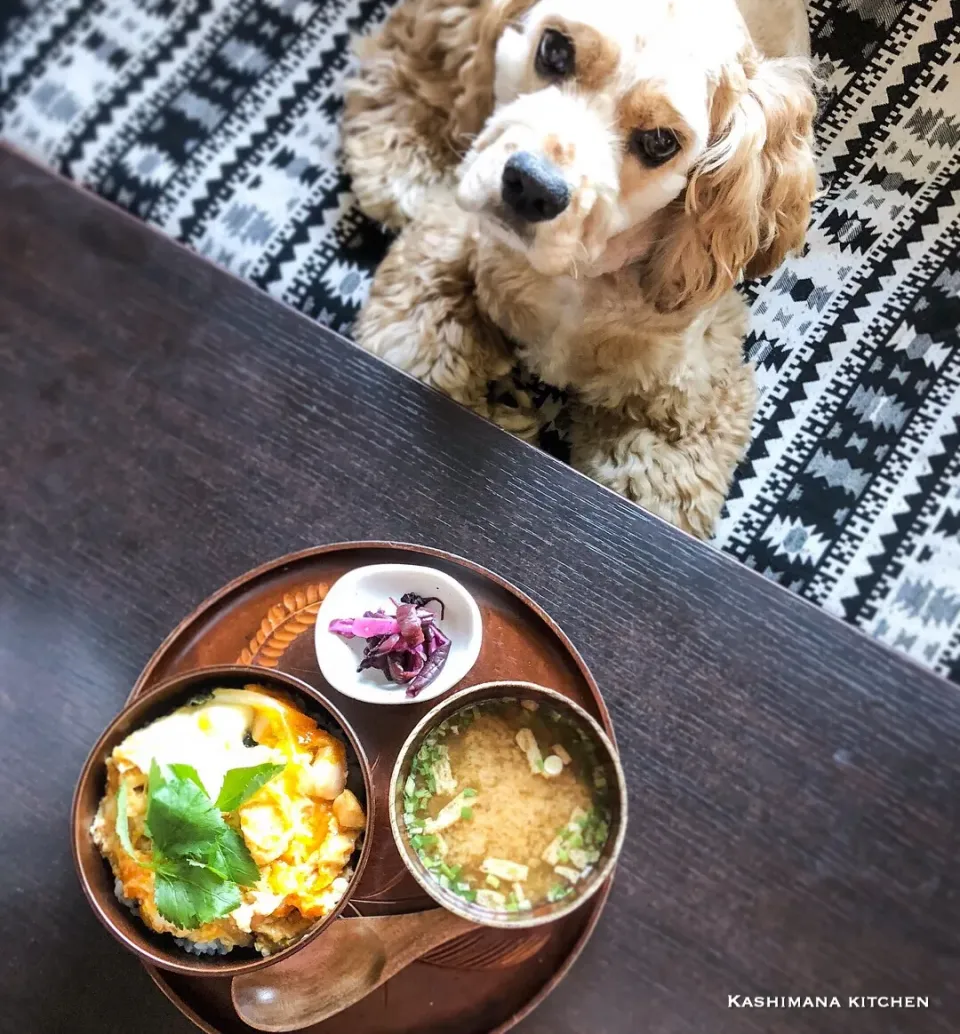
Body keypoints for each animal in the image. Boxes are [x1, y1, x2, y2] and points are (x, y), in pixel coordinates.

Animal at [341, 0, 815, 537]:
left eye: (660, 142)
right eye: (554, 49)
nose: (531, 186)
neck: (577, 279)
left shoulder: (693, 394)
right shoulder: (439, 257)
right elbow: (427, 358)